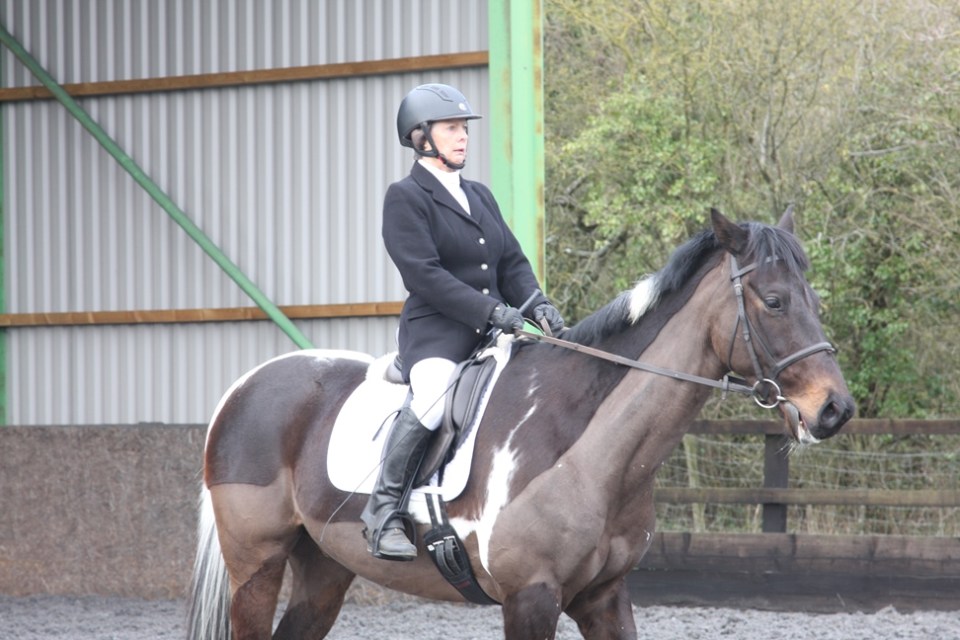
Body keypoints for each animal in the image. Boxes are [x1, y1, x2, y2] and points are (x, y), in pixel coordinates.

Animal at [186, 208, 854, 639]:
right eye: (774, 302)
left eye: (815, 301)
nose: (835, 409)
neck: (594, 450)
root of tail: (244, 386)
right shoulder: (530, 597)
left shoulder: (603, 597)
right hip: (257, 567)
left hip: (325, 569)